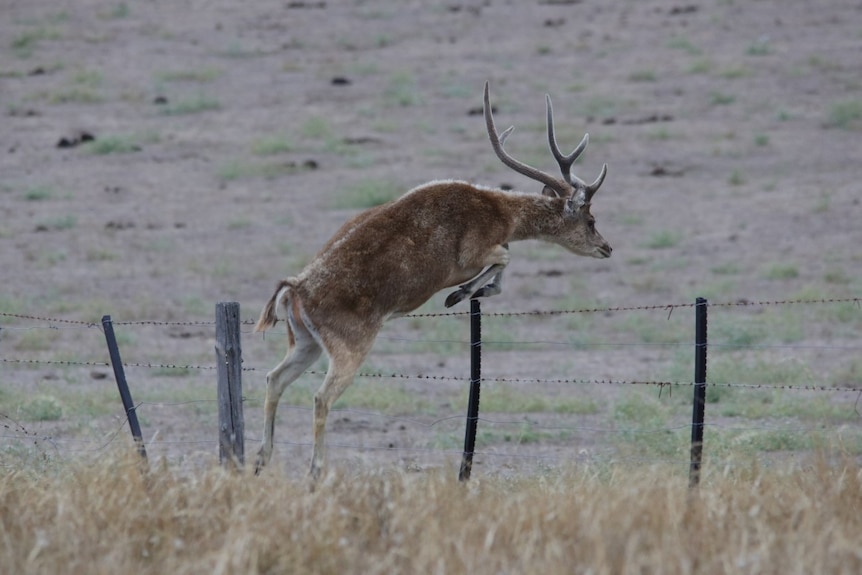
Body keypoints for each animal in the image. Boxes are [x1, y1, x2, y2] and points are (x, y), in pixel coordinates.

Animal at [253, 81, 612, 479]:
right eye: (591, 220)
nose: (607, 247)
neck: (500, 214)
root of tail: (294, 290)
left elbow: (505, 256)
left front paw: (471, 292)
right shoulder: (471, 253)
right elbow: (505, 256)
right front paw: (464, 293)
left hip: (304, 340)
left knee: (274, 378)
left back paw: (260, 459)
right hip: (351, 342)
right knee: (320, 396)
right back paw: (315, 471)